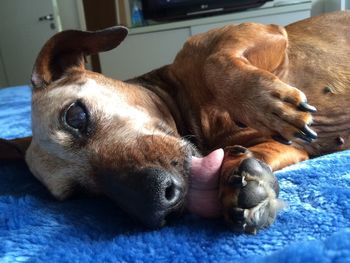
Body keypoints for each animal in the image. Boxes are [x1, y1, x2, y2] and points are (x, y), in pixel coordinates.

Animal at [2, 11, 350, 235]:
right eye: (77, 194)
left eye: (75, 116)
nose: (156, 206)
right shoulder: (288, 147)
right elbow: (258, 151)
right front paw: (237, 180)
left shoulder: (259, 31)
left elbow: (214, 61)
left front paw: (268, 103)